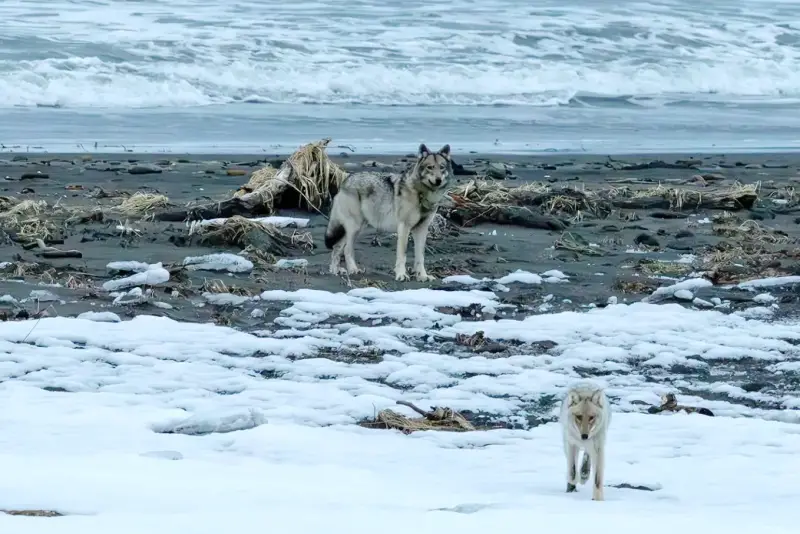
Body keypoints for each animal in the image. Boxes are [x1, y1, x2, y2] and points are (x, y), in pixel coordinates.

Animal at [324, 143, 454, 282]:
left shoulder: (421, 229)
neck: (422, 195)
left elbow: (420, 257)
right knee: (346, 249)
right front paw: (401, 275)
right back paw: (353, 270)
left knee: (337, 248)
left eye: (442, 167)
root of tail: (345, 181)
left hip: (357, 228)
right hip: (355, 228)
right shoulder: (404, 227)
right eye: (430, 167)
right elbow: (402, 255)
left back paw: (335, 271)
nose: (438, 180)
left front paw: (422, 276)